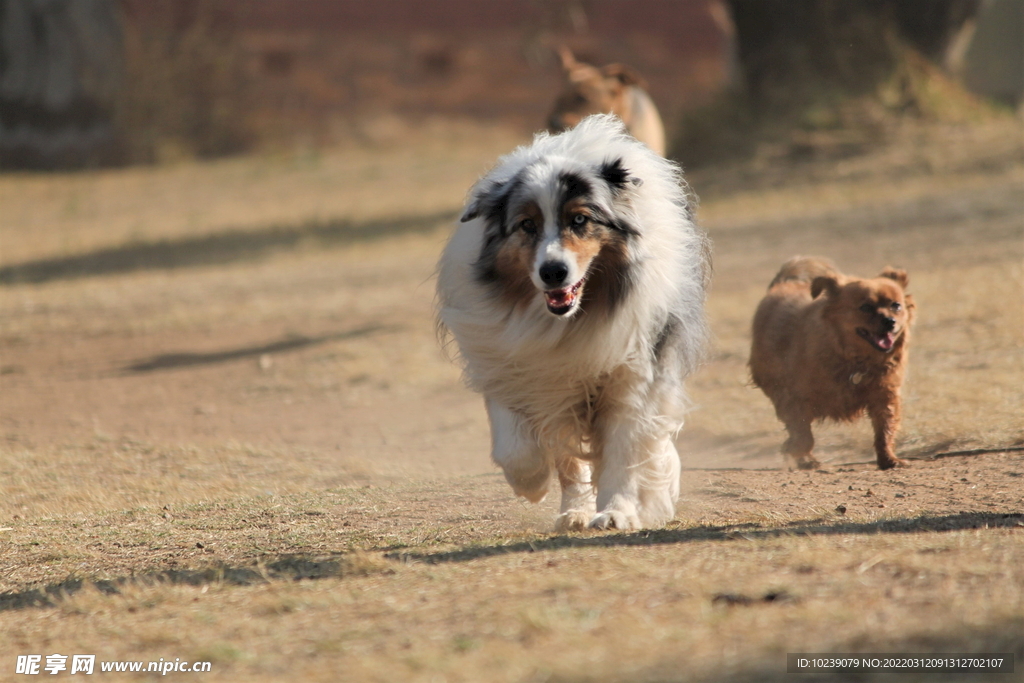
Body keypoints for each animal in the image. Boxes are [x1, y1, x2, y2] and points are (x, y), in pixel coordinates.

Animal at [749, 255, 917, 471]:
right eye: (865, 307)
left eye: (896, 305)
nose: (890, 321)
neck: (855, 360)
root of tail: (784, 283)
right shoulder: (794, 399)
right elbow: (802, 436)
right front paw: (793, 450)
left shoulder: (884, 397)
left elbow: (885, 430)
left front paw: (889, 459)